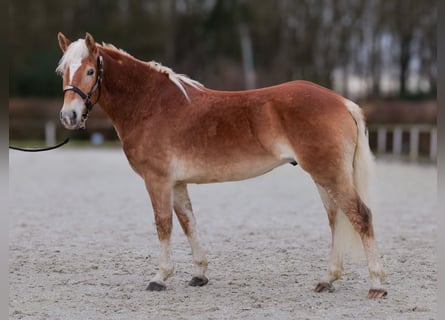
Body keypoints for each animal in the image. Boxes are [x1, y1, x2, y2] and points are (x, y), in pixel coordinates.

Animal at [56, 31, 386, 298]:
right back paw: (327, 280)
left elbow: (164, 225)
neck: (150, 105)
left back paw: (376, 285)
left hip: (330, 176)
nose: (69, 116)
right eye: (62, 71)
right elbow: (189, 223)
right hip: (323, 177)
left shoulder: (157, 180)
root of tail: (342, 102)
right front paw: (199, 274)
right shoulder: (177, 183)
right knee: (337, 220)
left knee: (361, 216)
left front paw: (160, 277)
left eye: (89, 71)